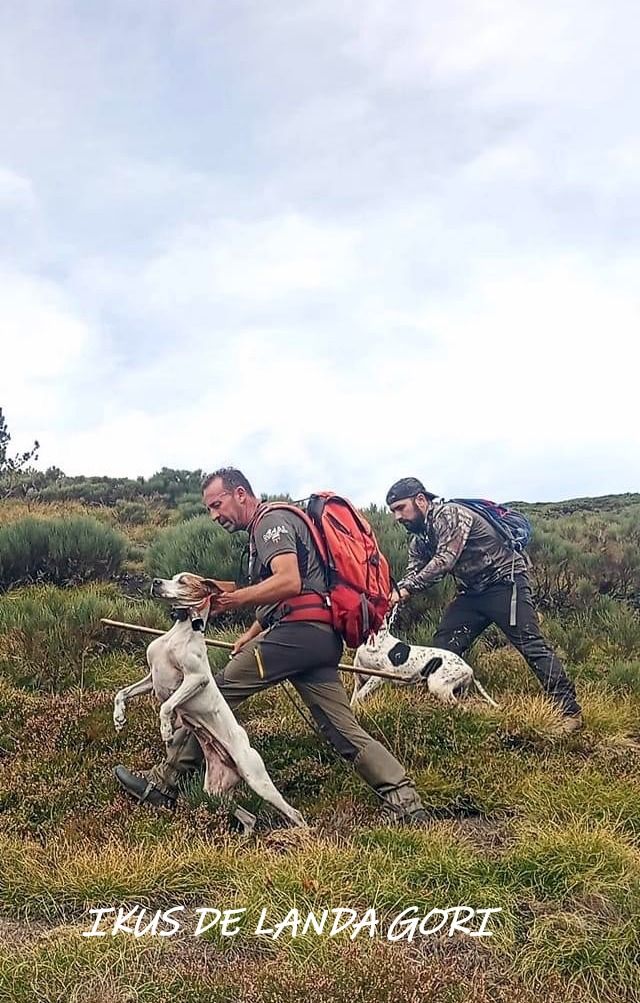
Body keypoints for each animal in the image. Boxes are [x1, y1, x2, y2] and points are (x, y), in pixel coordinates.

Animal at [113, 573, 308, 830]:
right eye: (172, 577)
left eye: (183, 581)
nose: (156, 582)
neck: (180, 632)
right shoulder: (151, 678)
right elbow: (122, 693)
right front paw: (118, 718)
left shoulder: (197, 678)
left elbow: (166, 705)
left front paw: (166, 730)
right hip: (215, 790)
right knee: (250, 817)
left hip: (257, 779)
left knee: (295, 814)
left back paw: (302, 834)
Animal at [349, 613, 499, 710]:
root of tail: (468, 668)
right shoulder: (359, 680)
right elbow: (353, 700)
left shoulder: (379, 676)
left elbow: (360, 695)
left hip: (438, 686)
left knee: (459, 705)